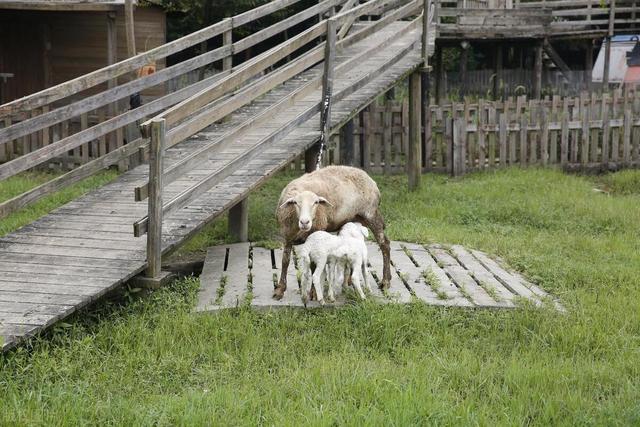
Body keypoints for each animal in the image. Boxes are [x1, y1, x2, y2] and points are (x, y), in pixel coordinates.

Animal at [272, 166, 390, 300]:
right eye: (296, 203)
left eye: (316, 203)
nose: (305, 222)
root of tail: (369, 178)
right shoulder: (287, 236)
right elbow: (285, 261)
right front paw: (280, 289)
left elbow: (314, 266)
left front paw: (313, 292)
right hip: (354, 219)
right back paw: (349, 280)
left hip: (371, 214)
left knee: (384, 244)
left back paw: (386, 281)